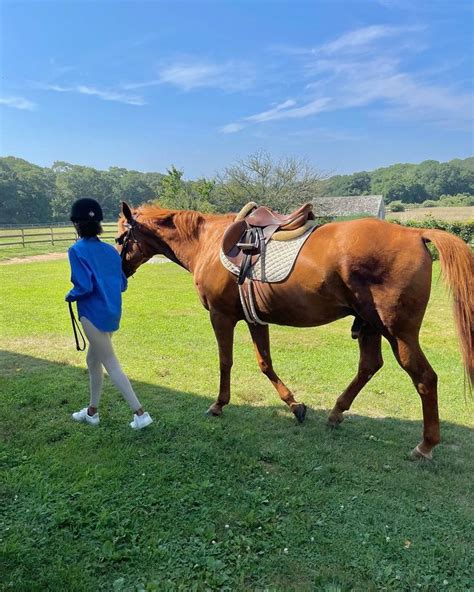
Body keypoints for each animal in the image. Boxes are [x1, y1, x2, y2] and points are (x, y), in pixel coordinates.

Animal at [115, 201, 474, 460]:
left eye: (120, 237)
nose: (119, 273)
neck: (209, 242)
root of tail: (414, 233)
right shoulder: (255, 319)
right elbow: (265, 363)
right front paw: (295, 406)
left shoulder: (222, 316)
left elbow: (225, 362)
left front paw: (218, 404)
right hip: (371, 325)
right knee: (369, 366)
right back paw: (336, 412)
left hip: (399, 332)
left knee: (424, 378)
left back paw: (426, 445)